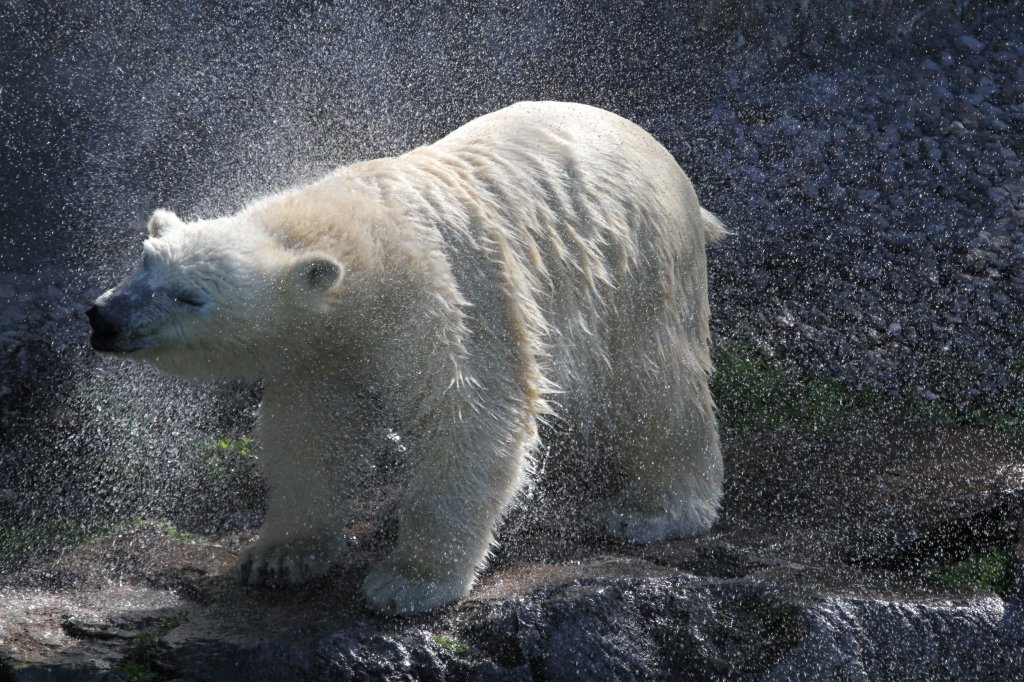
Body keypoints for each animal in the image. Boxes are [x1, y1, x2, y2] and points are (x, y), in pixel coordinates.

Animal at [90, 99, 729, 610]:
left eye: (191, 296)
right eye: (146, 260)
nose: (104, 318)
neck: (360, 239)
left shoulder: (454, 303)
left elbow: (472, 419)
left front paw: (406, 583)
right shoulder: (320, 352)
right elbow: (307, 434)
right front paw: (279, 557)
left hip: (638, 265)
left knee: (654, 384)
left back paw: (654, 510)